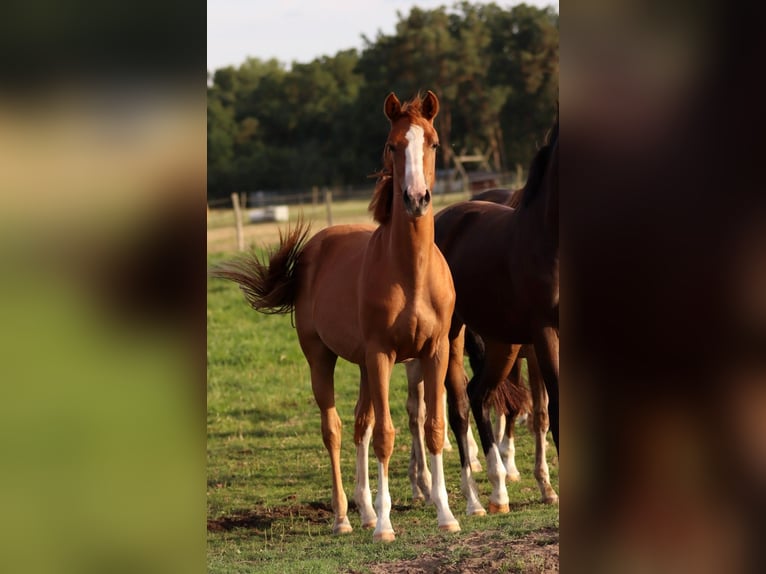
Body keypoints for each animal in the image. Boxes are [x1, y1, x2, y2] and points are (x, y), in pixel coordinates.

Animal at [209, 91, 460, 542]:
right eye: (392, 145)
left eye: (433, 143)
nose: (416, 199)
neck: (410, 273)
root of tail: (314, 246)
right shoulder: (381, 355)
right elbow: (385, 436)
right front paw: (386, 527)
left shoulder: (434, 351)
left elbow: (432, 427)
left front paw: (446, 515)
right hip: (322, 358)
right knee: (335, 429)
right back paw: (345, 517)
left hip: (362, 365)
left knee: (360, 424)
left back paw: (365, 512)